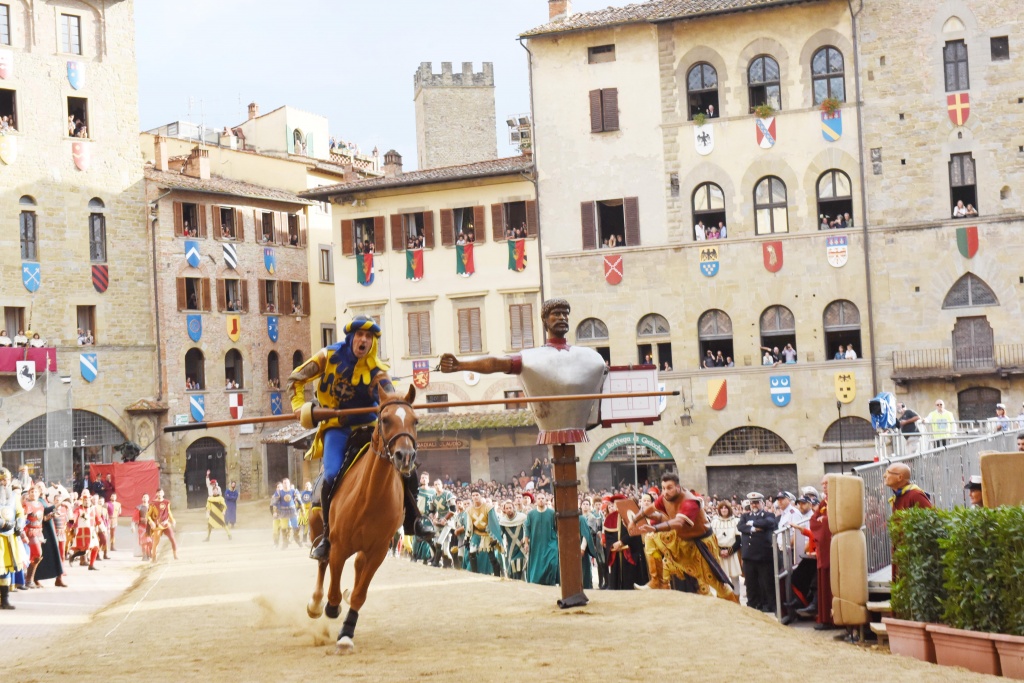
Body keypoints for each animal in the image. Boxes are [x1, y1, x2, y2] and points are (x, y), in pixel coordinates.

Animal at [305, 387, 417, 655]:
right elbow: (333, 590)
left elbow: (359, 594)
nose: (405, 457)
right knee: (322, 564)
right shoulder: (339, 546)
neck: (370, 497)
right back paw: (315, 603)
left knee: (356, 567)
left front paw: (346, 634)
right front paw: (330, 607)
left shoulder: (378, 551)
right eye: (385, 420)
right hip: (317, 528)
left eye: (415, 420)